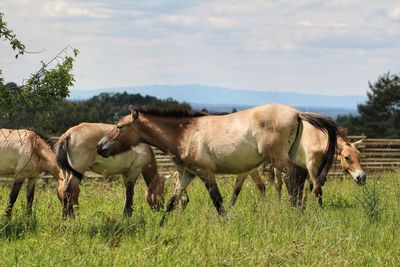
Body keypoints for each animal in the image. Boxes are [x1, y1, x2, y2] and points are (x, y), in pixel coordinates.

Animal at [95, 103, 342, 215]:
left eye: (119, 126)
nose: (100, 147)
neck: (186, 134)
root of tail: (297, 113)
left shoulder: (206, 173)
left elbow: (218, 201)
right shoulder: (187, 174)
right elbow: (173, 202)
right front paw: (161, 224)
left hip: (279, 159)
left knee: (296, 177)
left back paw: (295, 210)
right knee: (301, 177)